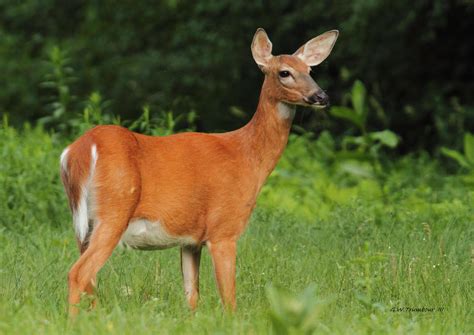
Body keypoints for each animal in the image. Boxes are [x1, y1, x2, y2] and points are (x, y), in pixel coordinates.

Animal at [61, 26, 338, 316]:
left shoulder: (190, 239)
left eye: (310, 70)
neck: (247, 157)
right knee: (79, 273)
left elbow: (192, 295)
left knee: (89, 277)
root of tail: (79, 150)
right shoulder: (224, 228)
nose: (322, 97)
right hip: (114, 210)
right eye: (284, 72)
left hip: (84, 224)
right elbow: (228, 298)